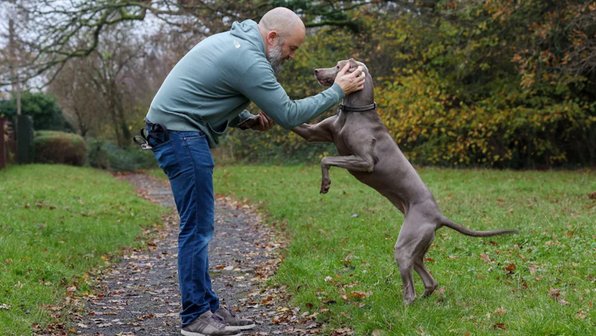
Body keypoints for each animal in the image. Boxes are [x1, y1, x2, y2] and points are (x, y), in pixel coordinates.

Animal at [294, 58, 516, 304]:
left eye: (338, 66)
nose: (316, 71)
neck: (354, 112)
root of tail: (438, 217)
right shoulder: (313, 133)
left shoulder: (365, 161)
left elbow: (326, 159)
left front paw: (325, 184)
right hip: (417, 248)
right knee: (429, 280)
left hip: (405, 244)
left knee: (410, 289)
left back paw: (403, 307)